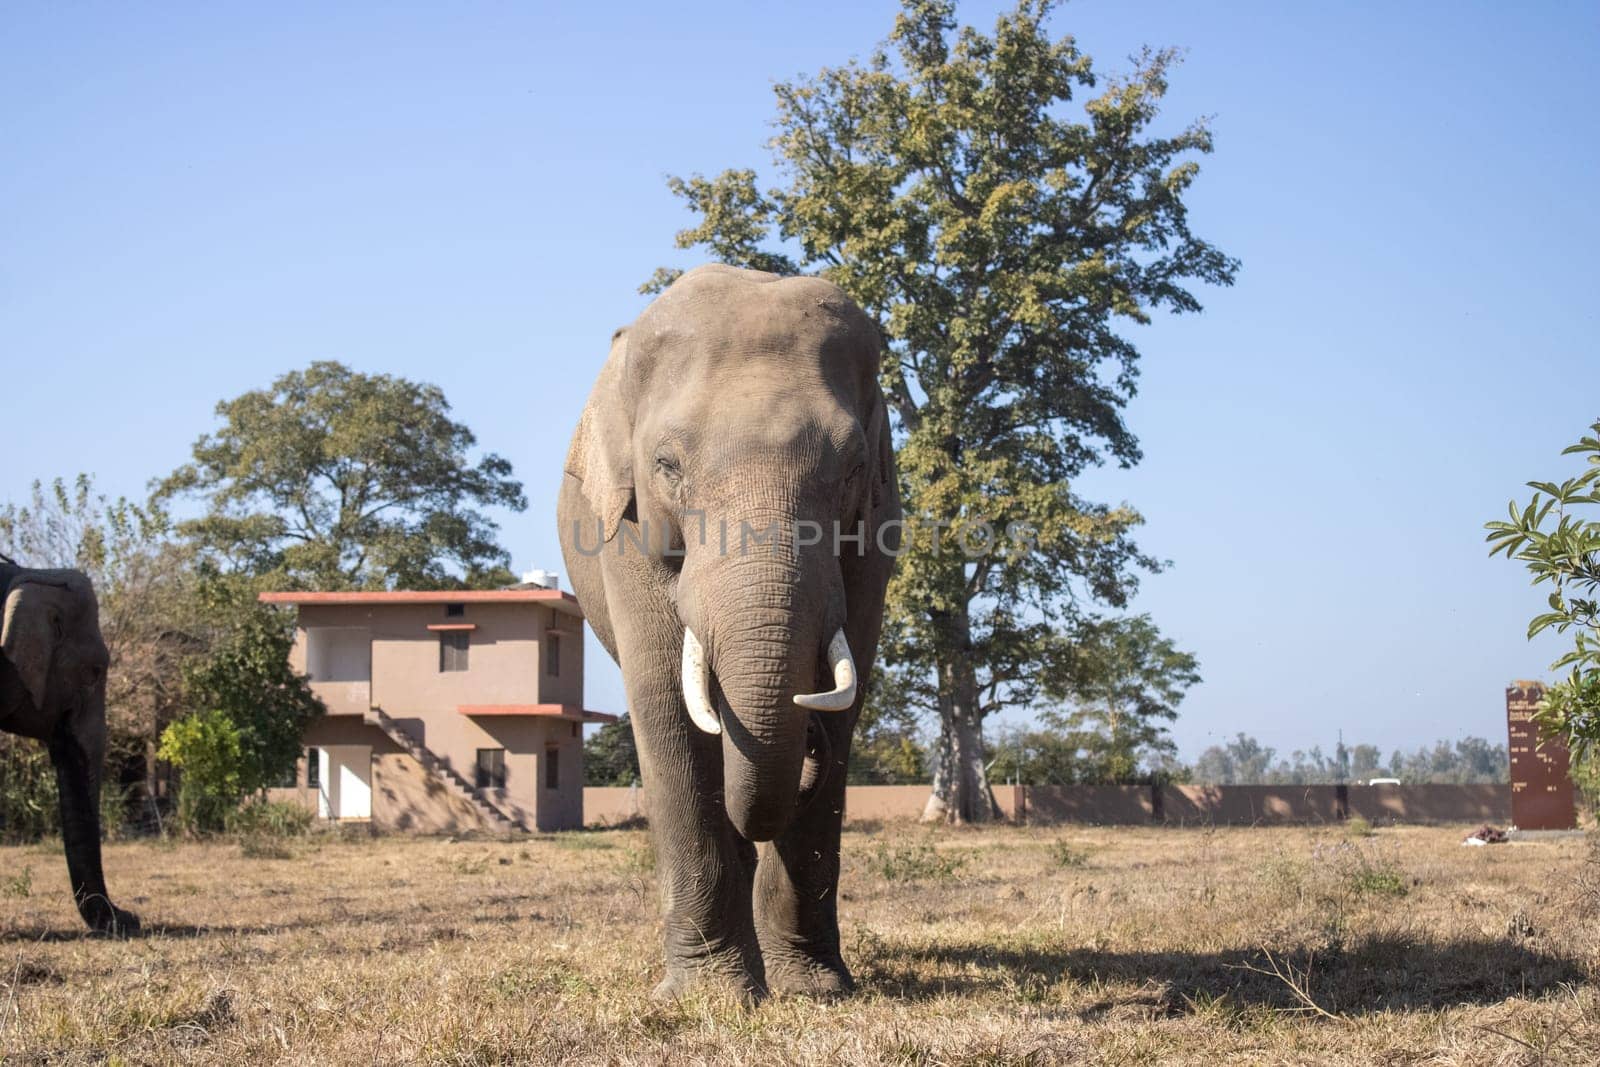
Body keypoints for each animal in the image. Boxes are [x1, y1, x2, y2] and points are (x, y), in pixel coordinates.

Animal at [560, 267, 902, 1004]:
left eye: (853, 468)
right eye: (666, 464)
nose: (808, 738)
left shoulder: (877, 538)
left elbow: (849, 693)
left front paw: (814, 991)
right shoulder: (625, 528)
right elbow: (667, 704)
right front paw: (712, 997)